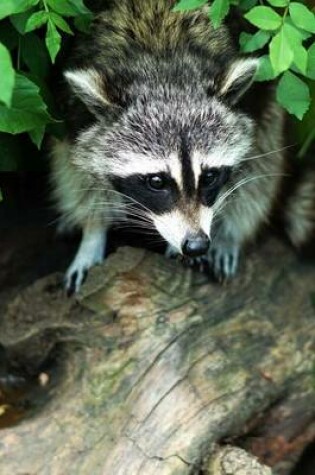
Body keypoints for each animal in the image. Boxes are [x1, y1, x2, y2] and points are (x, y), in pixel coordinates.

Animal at [51, 0, 314, 294]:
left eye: (209, 176)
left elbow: (254, 164)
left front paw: (226, 233)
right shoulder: (74, 111)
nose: (196, 244)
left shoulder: (253, 100)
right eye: (156, 182)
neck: (162, 60)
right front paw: (92, 232)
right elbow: (78, 171)